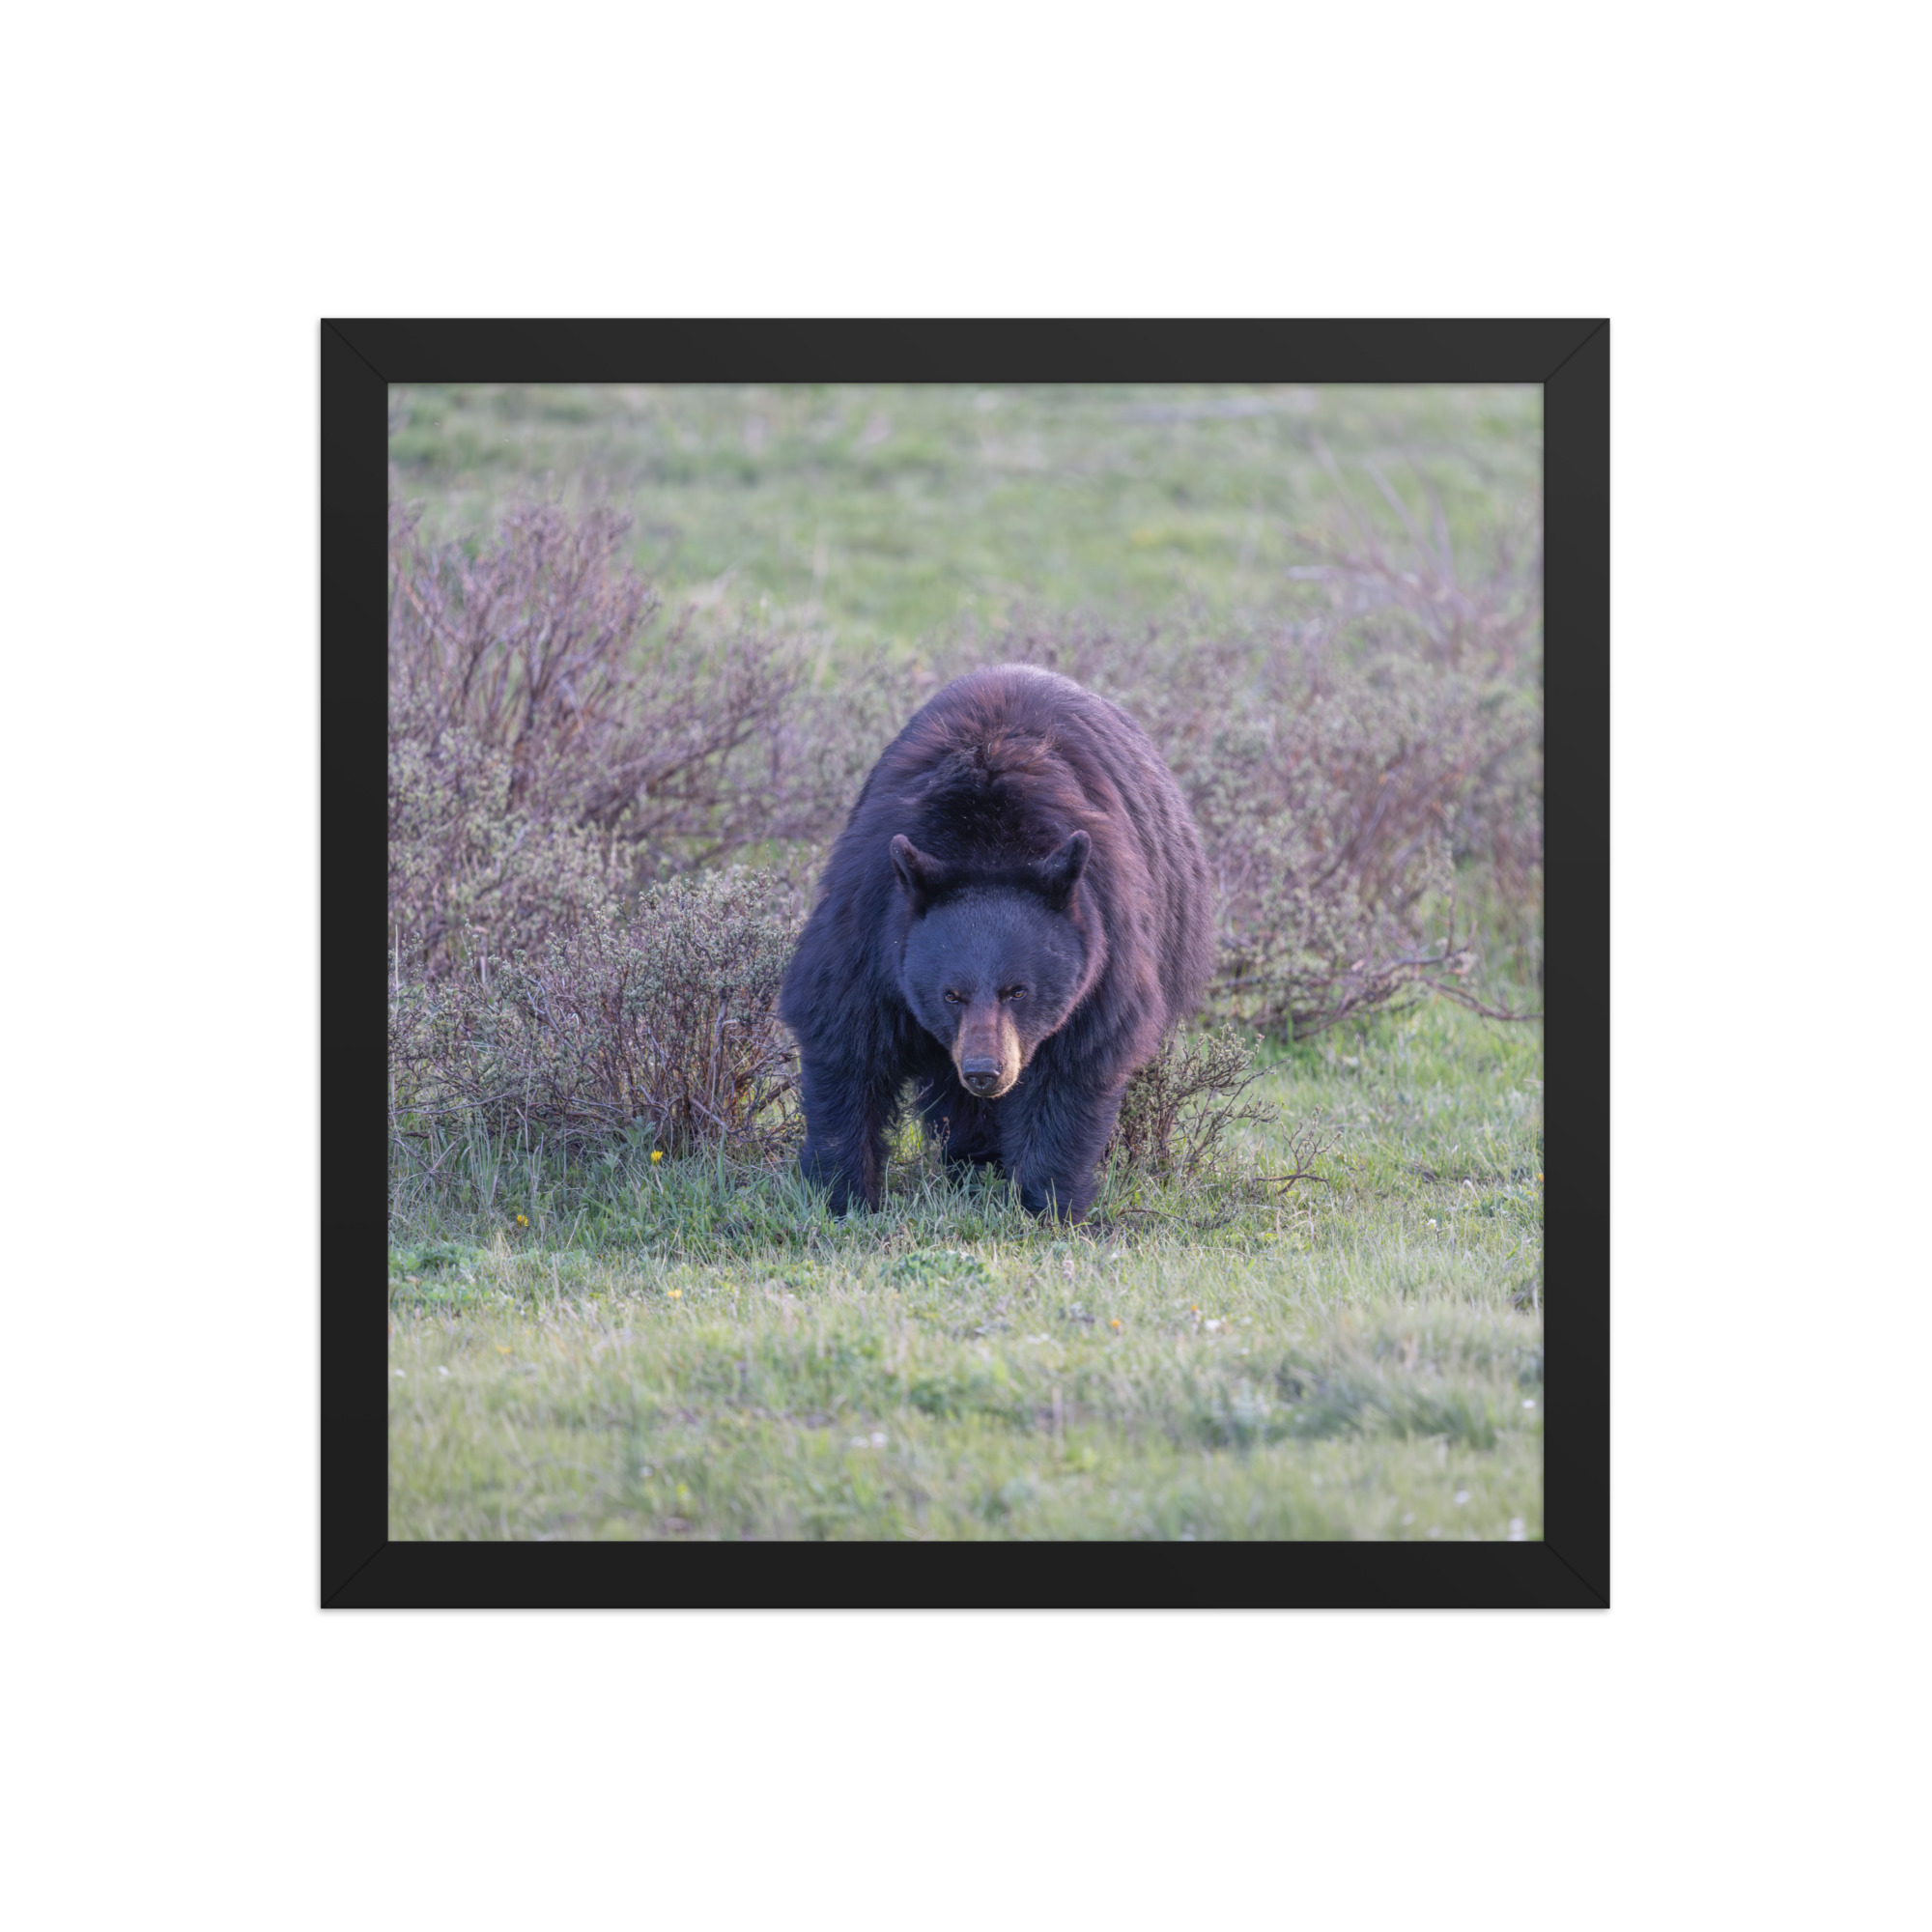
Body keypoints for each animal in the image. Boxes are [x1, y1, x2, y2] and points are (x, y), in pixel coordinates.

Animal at [778, 662, 1214, 1222]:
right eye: (950, 994)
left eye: (1018, 990)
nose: (986, 1072)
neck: (986, 841)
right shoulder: (871, 920)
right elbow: (844, 1037)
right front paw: (844, 1194)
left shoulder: (1106, 942)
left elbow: (1075, 1065)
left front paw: (1050, 1203)